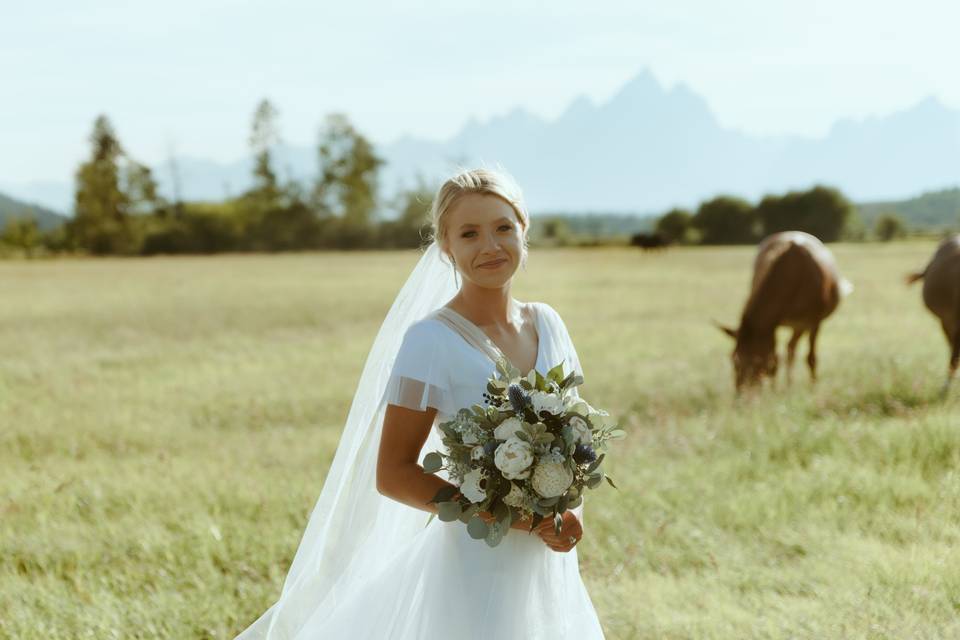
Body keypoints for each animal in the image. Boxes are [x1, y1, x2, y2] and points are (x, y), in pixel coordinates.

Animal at [716, 230, 852, 390]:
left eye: (756, 361)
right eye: (733, 359)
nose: (741, 394)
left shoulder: (815, 319)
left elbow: (810, 357)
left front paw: (813, 387)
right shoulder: (774, 322)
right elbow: (775, 359)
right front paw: (773, 390)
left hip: (802, 324)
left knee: (792, 347)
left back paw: (790, 383)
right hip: (796, 325)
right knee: (790, 347)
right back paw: (788, 384)